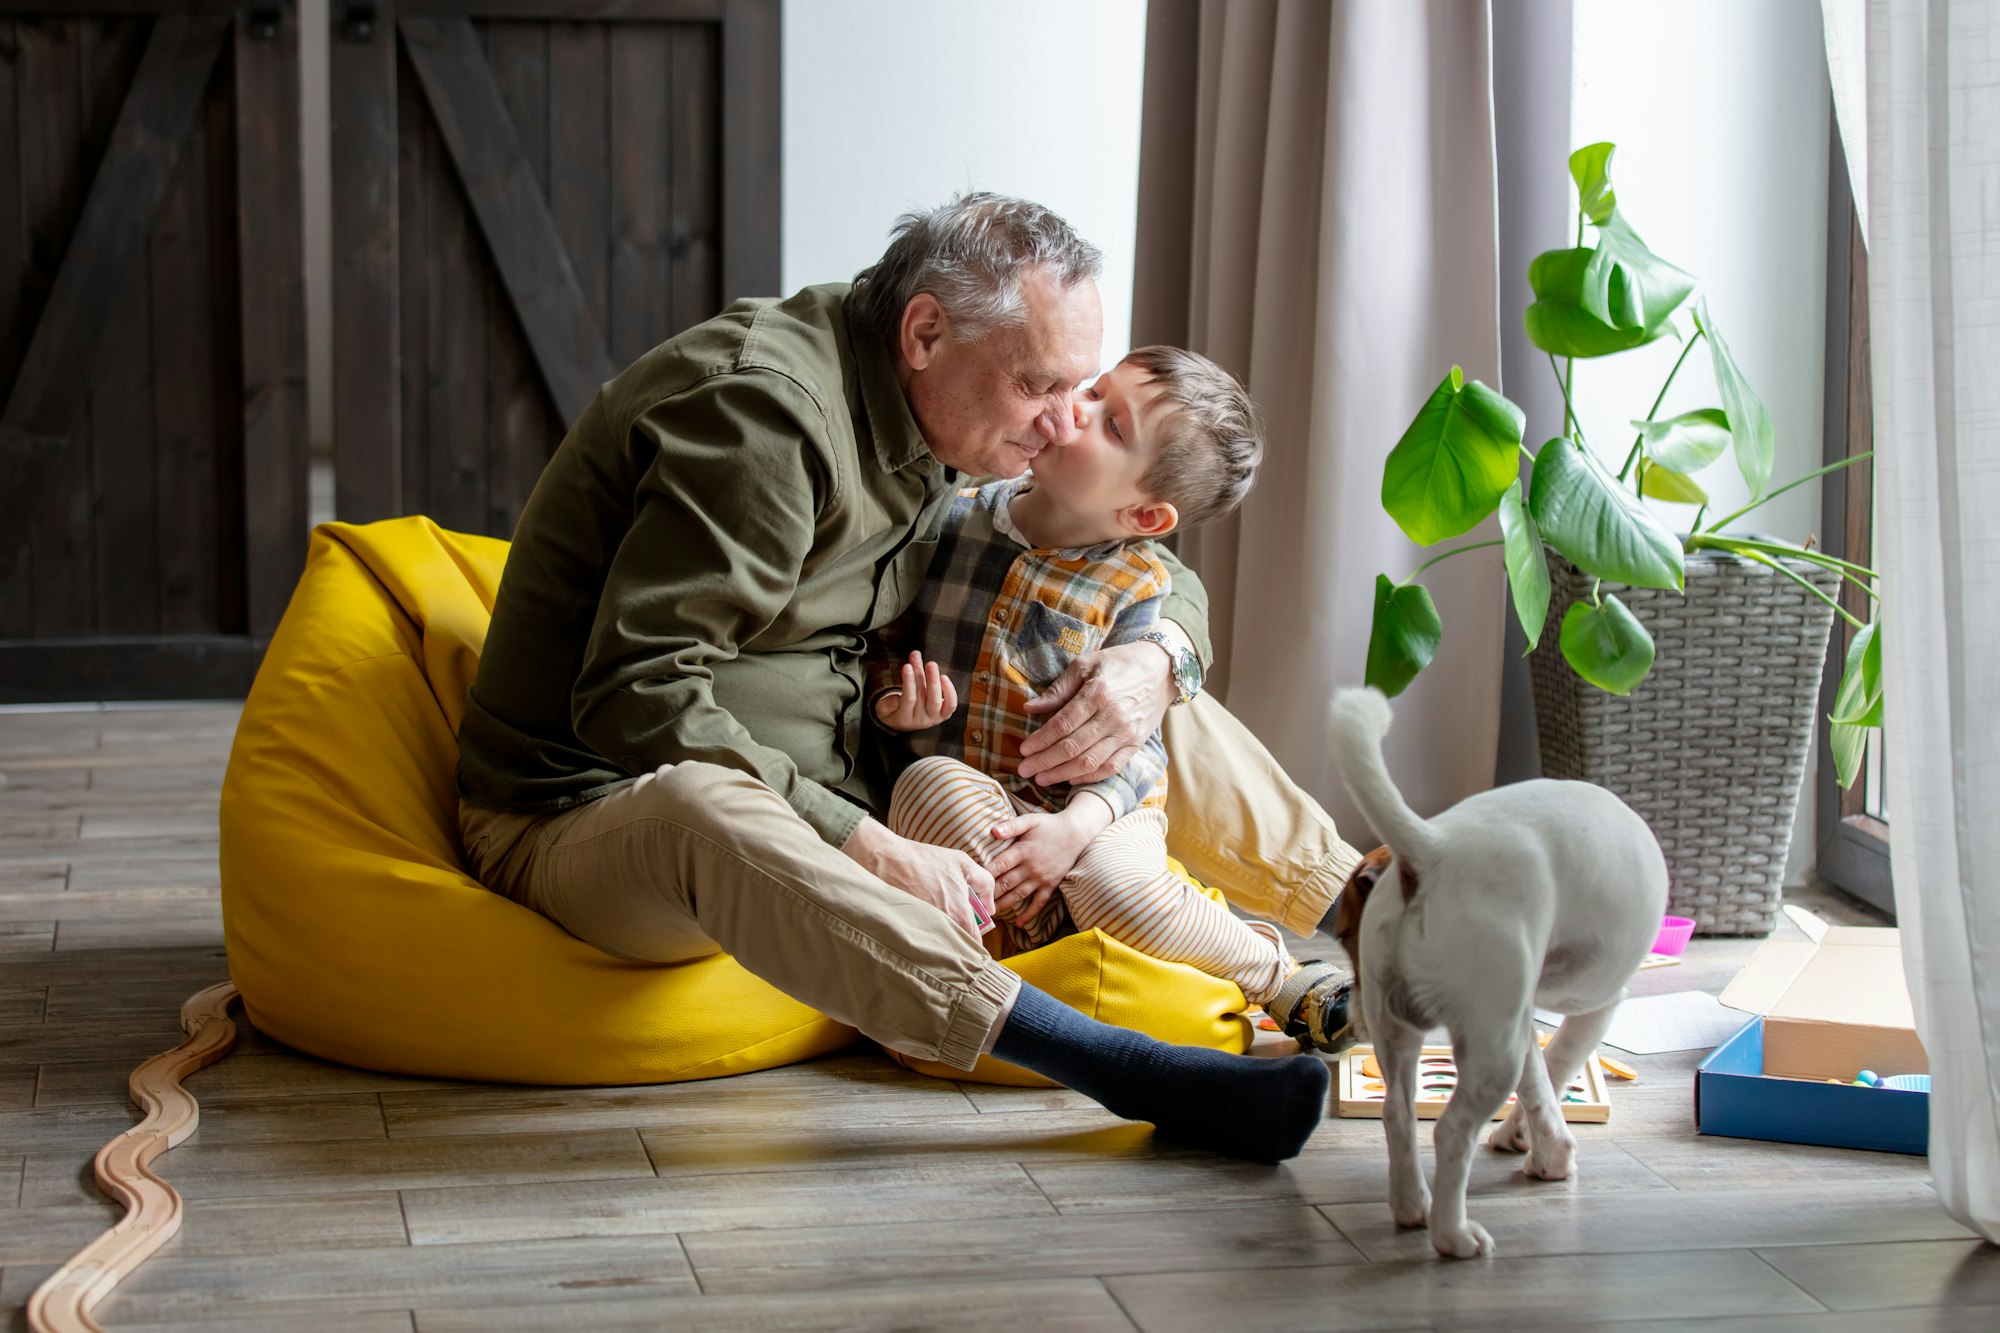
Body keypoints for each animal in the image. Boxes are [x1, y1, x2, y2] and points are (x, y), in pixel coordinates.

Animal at [1328, 684, 1672, 1256]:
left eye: (1342, 938)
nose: (1349, 1021)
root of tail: (1433, 850)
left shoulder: (1518, 1015)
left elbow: (1538, 1083)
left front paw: (1537, 1144)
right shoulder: (1595, 1007)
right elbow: (1556, 1067)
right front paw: (1538, 1147)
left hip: (1406, 1032)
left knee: (1397, 1114)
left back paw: (1412, 1207)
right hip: (1493, 1051)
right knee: (1449, 1132)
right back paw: (1454, 1236)